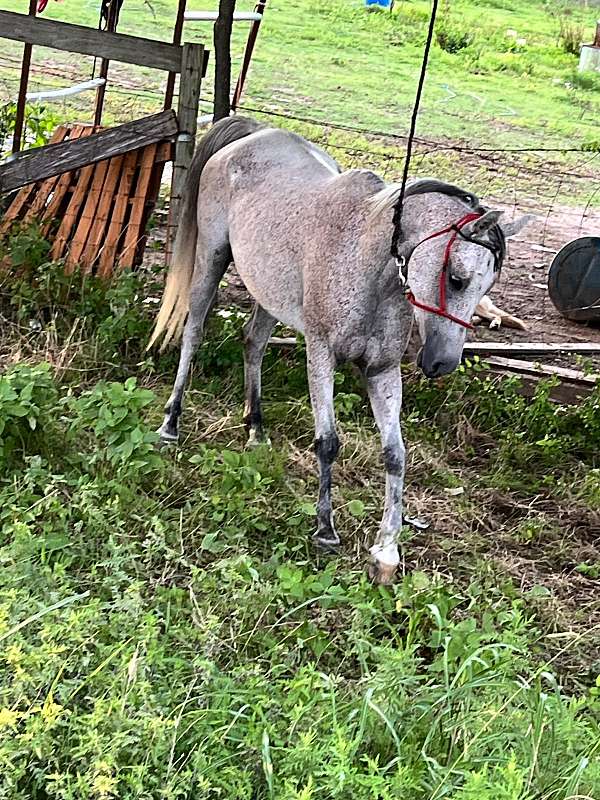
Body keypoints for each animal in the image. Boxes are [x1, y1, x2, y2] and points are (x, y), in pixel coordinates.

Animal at [148, 116, 532, 584]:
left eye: (488, 285)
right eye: (457, 278)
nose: (441, 363)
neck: (367, 262)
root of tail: (252, 133)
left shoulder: (382, 371)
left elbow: (395, 455)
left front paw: (386, 551)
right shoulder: (321, 354)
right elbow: (328, 442)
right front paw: (325, 528)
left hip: (268, 293)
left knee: (253, 341)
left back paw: (256, 428)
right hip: (211, 258)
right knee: (193, 333)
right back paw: (171, 423)